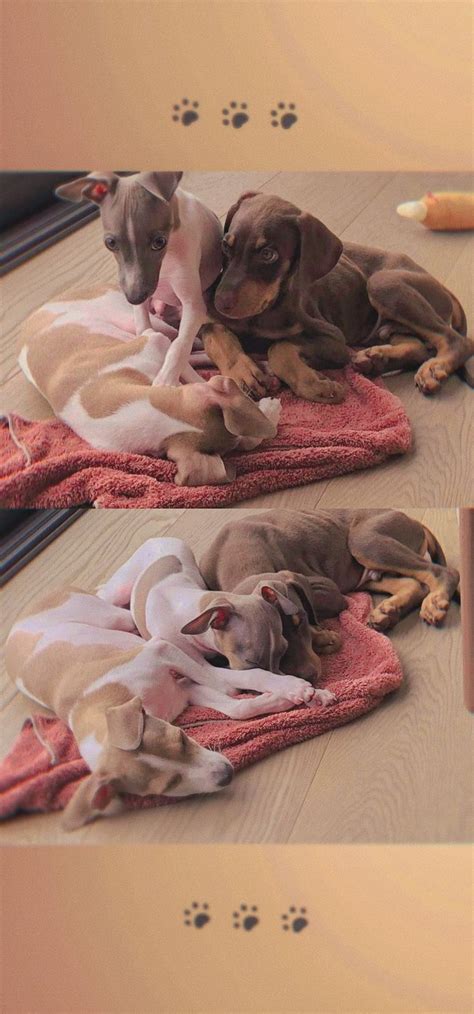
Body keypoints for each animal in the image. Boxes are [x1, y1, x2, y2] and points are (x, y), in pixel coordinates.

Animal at [19, 285, 282, 486]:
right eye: (227, 453)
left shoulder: (157, 344)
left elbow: (182, 360)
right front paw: (266, 412)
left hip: (138, 320)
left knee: (188, 340)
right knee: (193, 349)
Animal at [200, 190, 474, 399]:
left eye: (268, 254)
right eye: (225, 245)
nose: (218, 302)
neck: (266, 310)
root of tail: (442, 286)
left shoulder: (334, 341)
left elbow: (280, 346)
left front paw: (315, 385)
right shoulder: (213, 324)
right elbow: (216, 334)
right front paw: (242, 373)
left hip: (383, 283)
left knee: (456, 341)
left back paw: (433, 368)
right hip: (388, 324)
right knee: (417, 347)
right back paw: (377, 359)